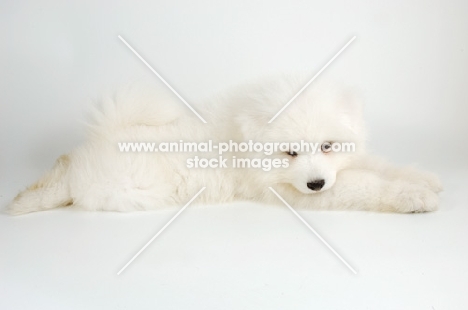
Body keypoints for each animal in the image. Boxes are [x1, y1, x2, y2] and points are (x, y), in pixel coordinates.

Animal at [9, 74, 444, 214]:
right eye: (290, 153)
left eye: (328, 146)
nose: (316, 183)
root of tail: (102, 137)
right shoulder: (286, 191)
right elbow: (365, 185)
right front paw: (412, 196)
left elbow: (379, 166)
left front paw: (425, 179)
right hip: (119, 187)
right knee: (65, 175)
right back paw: (22, 201)